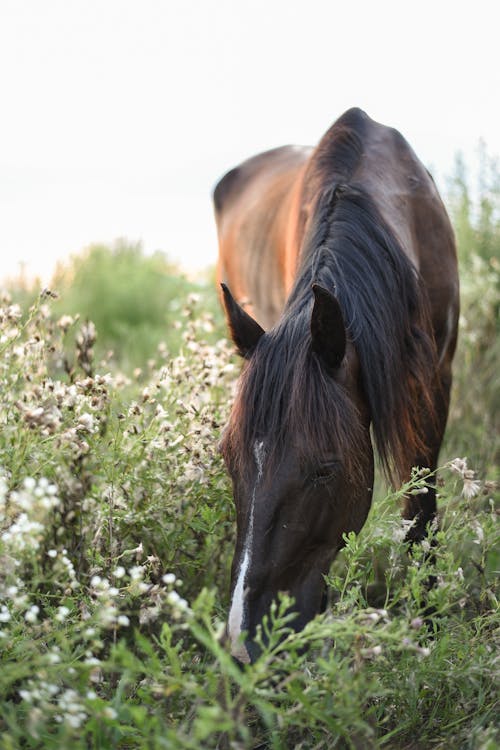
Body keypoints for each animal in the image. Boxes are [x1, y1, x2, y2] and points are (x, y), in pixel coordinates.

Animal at [213, 107, 458, 664]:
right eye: (228, 460)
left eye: (324, 470)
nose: (244, 642)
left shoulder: (437, 381)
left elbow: (422, 510)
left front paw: (429, 625)